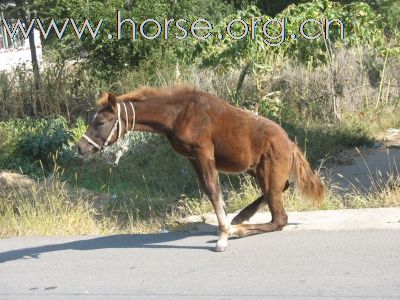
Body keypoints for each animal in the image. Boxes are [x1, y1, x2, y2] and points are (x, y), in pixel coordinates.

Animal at [76, 85, 324, 251]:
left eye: (100, 122)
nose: (80, 148)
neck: (178, 114)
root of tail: (291, 144)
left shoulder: (203, 153)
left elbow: (214, 191)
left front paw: (223, 237)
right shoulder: (192, 158)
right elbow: (209, 190)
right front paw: (227, 226)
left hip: (267, 173)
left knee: (280, 218)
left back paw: (239, 228)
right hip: (258, 170)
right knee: (283, 188)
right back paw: (241, 216)